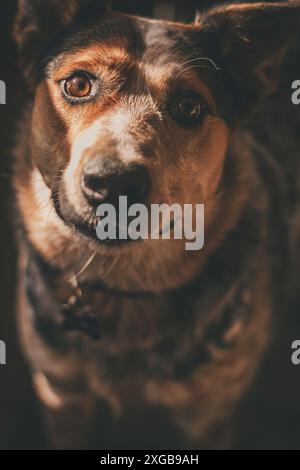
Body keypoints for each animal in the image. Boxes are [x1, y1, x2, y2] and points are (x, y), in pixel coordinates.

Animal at [10, 0, 300, 450]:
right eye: (78, 84)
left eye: (189, 106)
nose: (114, 181)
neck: (125, 287)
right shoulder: (60, 394)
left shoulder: (208, 417)